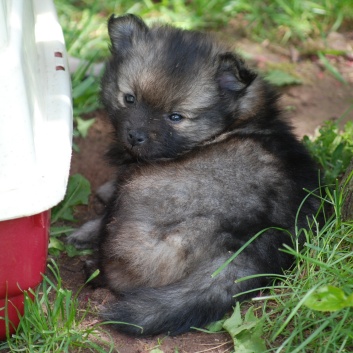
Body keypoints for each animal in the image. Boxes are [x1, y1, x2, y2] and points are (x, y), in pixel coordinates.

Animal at [68, 14, 320, 336]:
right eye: (129, 99)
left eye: (176, 117)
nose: (134, 136)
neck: (237, 120)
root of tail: (252, 242)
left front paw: (86, 226)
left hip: (137, 198)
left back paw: (93, 267)